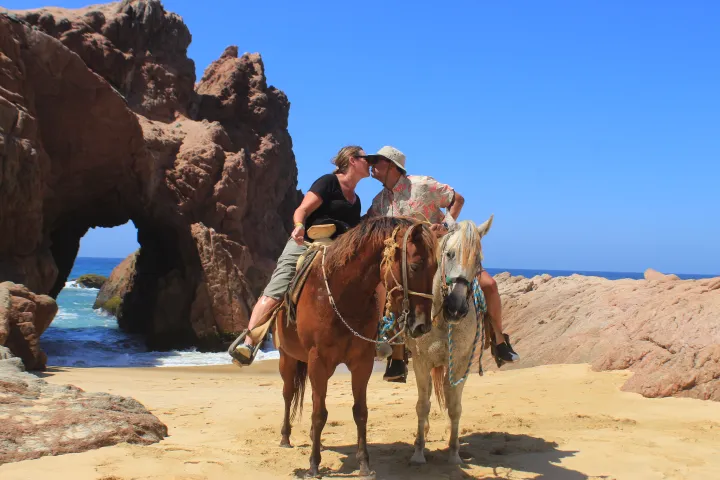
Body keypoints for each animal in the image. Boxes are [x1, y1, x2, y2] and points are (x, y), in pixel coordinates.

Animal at [274, 216, 439, 478]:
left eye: (436, 268)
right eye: (415, 266)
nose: (423, 325)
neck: (342, 295)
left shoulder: (362, 362)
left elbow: (360, 412)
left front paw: (364, 464)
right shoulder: (318, 362)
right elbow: (319, 414)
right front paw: (314, 465)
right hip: (287, 357)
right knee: (288, 393)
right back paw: (285, 437)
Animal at [406, 217, 493, 465]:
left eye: (478, 259)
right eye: (450, 254)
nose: (456, 307)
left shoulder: (461, 363)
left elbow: (454, 407)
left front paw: (454, 454)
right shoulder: (421, 362)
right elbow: (422, 405)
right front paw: (418, 452)